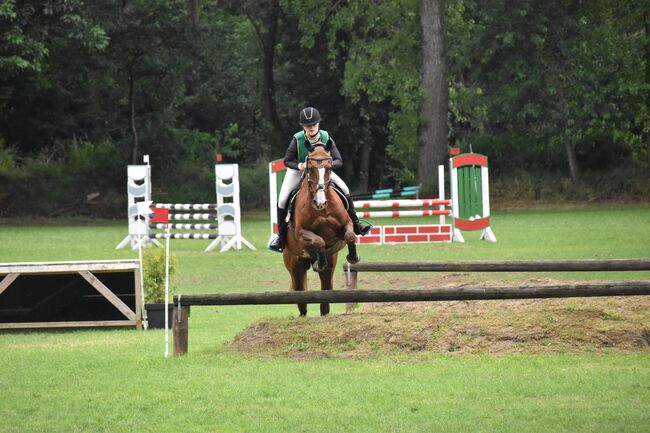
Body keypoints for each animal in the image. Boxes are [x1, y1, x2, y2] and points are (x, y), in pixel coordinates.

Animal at [280, 143, 356, 316]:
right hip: (295, 265)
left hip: (330, 265)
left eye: (328, 168)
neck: (322, 210)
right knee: (301, 297)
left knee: (325, 295)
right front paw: (318, 263)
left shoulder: (346, 225)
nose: (319, 202)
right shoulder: (301, 233)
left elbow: (350, 236)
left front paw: (353, 257)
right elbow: (319, 241)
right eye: (310, 168)